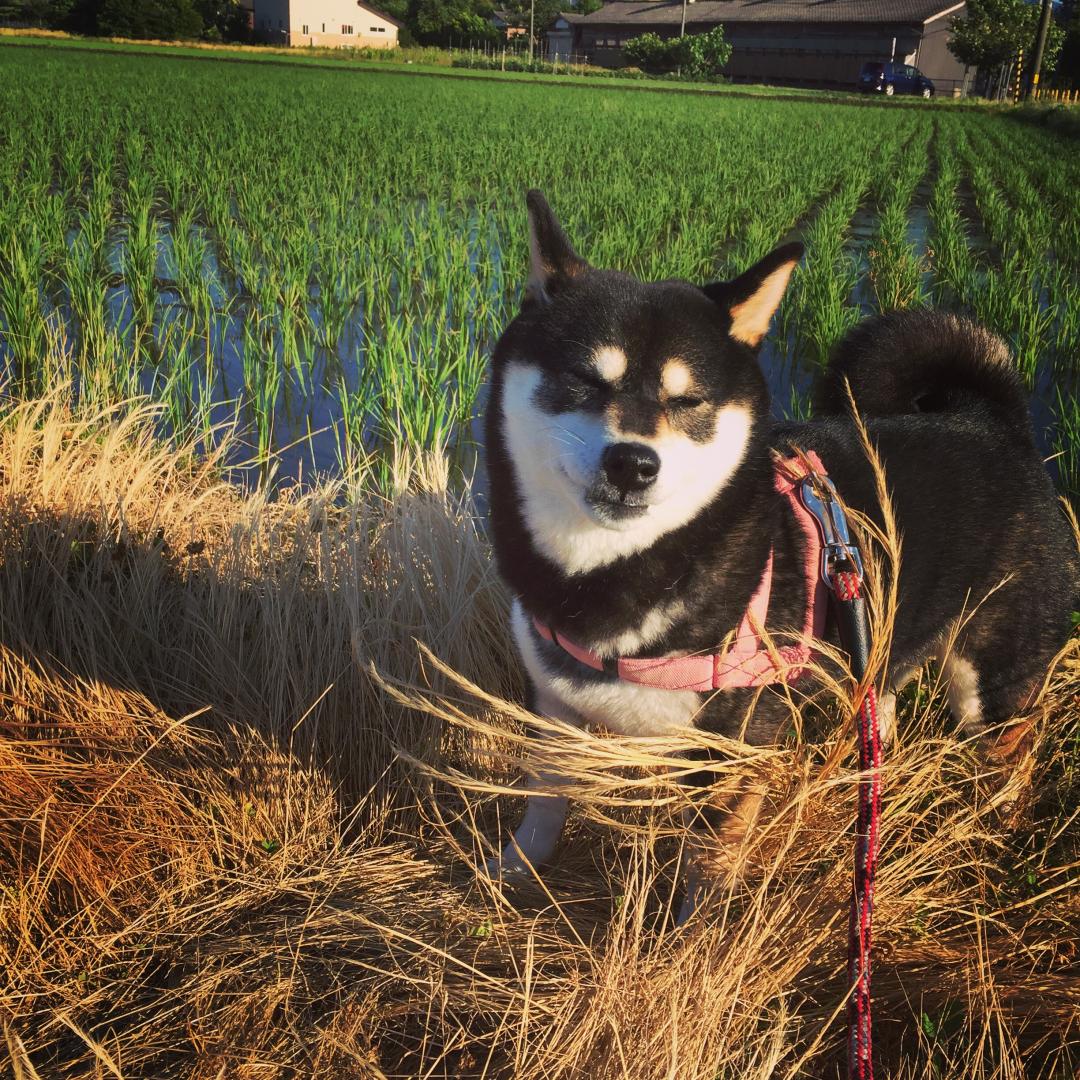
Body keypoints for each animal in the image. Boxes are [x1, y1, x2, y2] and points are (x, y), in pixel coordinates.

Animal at [483, 187, 1080, 911]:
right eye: (585, 381)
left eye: (689, 400)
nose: (633, 463)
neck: (623, 573)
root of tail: (997, 425)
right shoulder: (554, 708)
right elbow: (544, 801)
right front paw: (516, 870)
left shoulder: (736, 750)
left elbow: (707, 864)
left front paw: (695, 935)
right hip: (875, 646)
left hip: (991, 682)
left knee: (1009, 752)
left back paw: (993, 823)